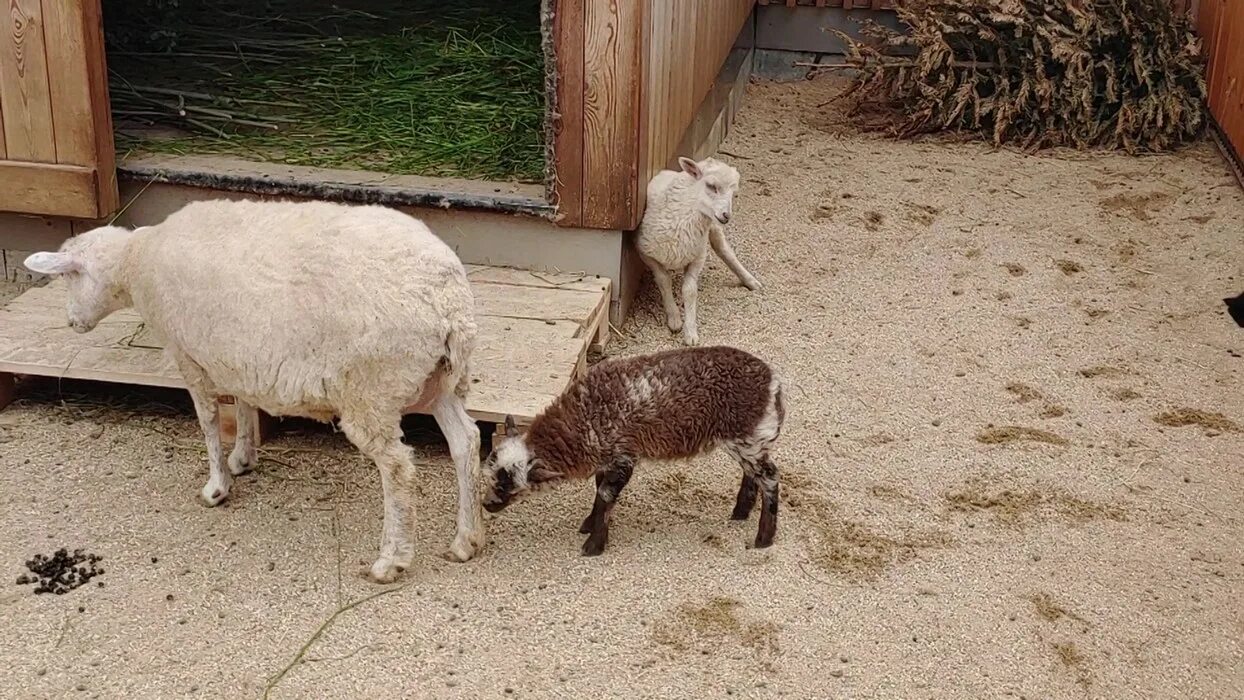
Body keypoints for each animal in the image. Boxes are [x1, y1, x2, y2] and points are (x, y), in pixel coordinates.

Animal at [21, 200, 485, 584]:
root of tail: (448, 299)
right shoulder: (238, 354)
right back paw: (467, 540)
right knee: (466, 441)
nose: (72, 322)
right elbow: (243, 404)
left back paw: (392, 559)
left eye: (67, 277)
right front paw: (243, 458)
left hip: (371, 388)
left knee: (398, 468)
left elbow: (209, 421)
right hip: (439, 380)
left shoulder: (187, 355)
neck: (136, 262)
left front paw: (216, 486)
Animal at [480, 343, 781, 554]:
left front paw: (594, 545)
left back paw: (763, 538)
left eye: (508, 484)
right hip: (747, 441)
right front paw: (589, 523)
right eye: (491, 475)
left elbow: (605, 493)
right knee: (752, 474)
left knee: (770, 477)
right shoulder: (606, 458)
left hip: (747, 438)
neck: (580, 420)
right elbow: (599, 490)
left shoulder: (623, 456)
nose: (486, 504)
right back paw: (741, 512)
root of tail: (773, 382)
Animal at [641, 157, 756, 345]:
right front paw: (674, 318)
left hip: (713, 228)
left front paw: (690, 333)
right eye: (711, 186)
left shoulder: (698, 258)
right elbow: (664, 280)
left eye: (734, 193)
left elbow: (689, 291)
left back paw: (750, 280)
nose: (726, 215)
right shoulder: (646, 253)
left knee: (723, 249)